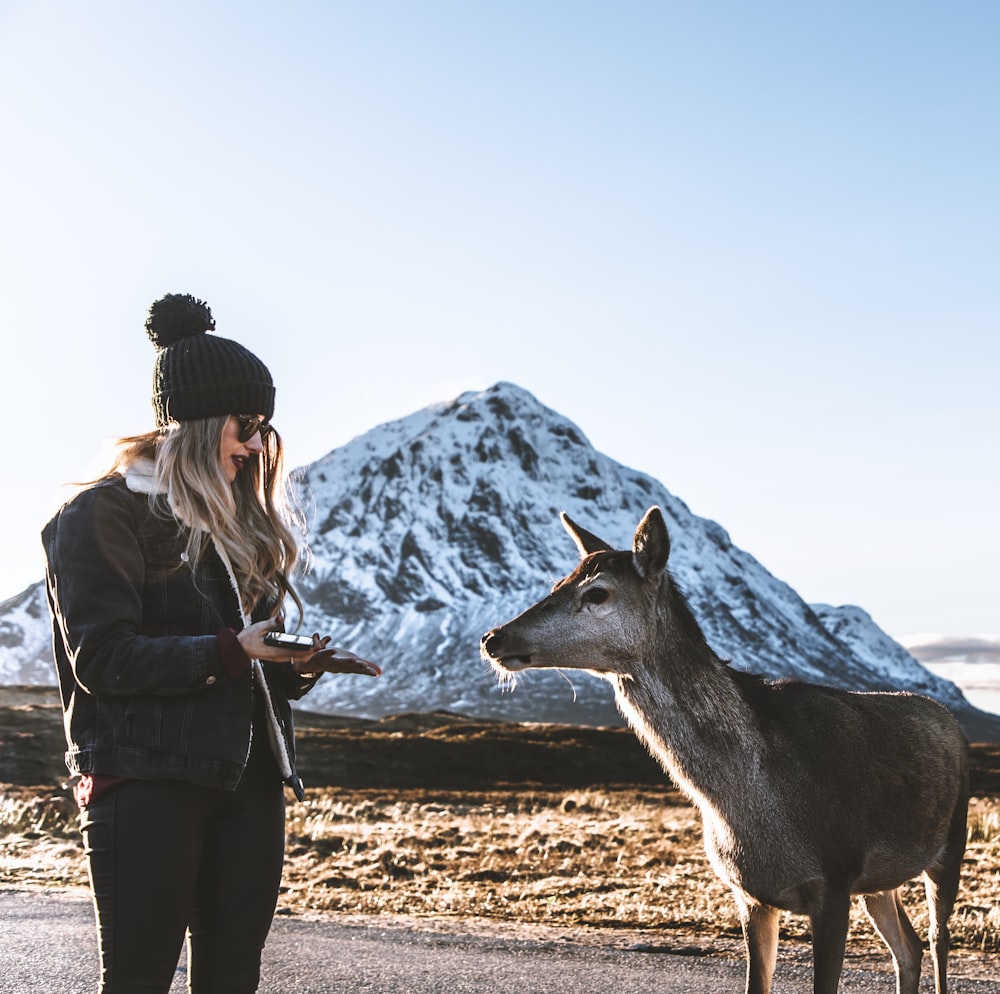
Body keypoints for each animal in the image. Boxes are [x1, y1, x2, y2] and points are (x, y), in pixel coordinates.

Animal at [482, 508, 968, 992]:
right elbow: (757, 982)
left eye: (596, 592)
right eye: (557, 584)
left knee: (936, 939)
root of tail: (950, 719)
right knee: (907, 946)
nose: (494, 638)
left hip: (950, 842)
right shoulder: (751, 893)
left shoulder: (833, 877)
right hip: (877, 881)